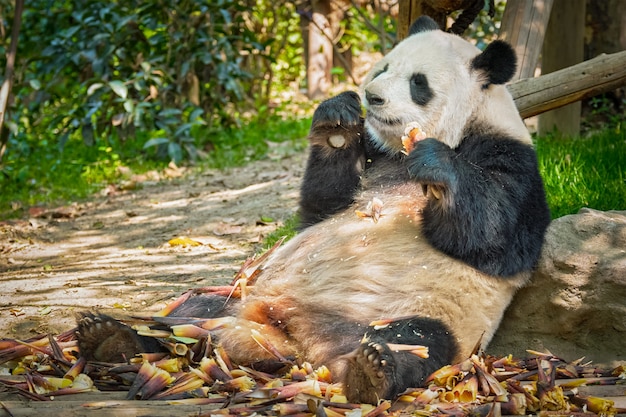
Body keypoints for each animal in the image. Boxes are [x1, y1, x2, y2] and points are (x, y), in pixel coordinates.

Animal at [75, 16, 548, 404]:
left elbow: (495, 237)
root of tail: (293, 339)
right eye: (383, 68)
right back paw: (114, 338)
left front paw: (435, 163)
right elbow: (322, 206)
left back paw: (372, 373)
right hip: (239, 295)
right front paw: (338, 117)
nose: (372, 97)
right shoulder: (376, 158)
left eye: (418, 82)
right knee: (190, 314)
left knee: (417, 340)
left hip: (422, 310)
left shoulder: (513, 159)